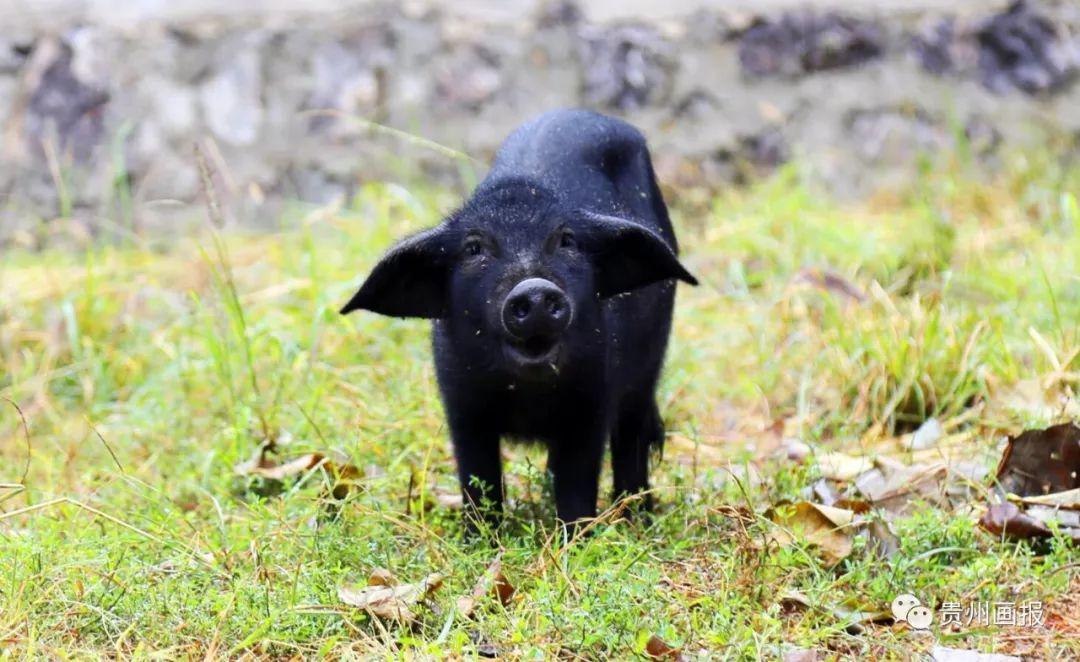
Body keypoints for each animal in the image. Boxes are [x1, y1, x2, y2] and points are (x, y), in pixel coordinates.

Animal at [341, 111, 695, 529]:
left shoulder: (591, 398)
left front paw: (577, 535)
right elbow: (479, 480)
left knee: (632, 437)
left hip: (649, 364)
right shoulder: (461, 404)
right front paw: (479, 536)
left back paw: (637, 518)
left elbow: (577, 483)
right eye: (473, 248)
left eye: (566, 240)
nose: (534, 289)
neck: (527, 397)